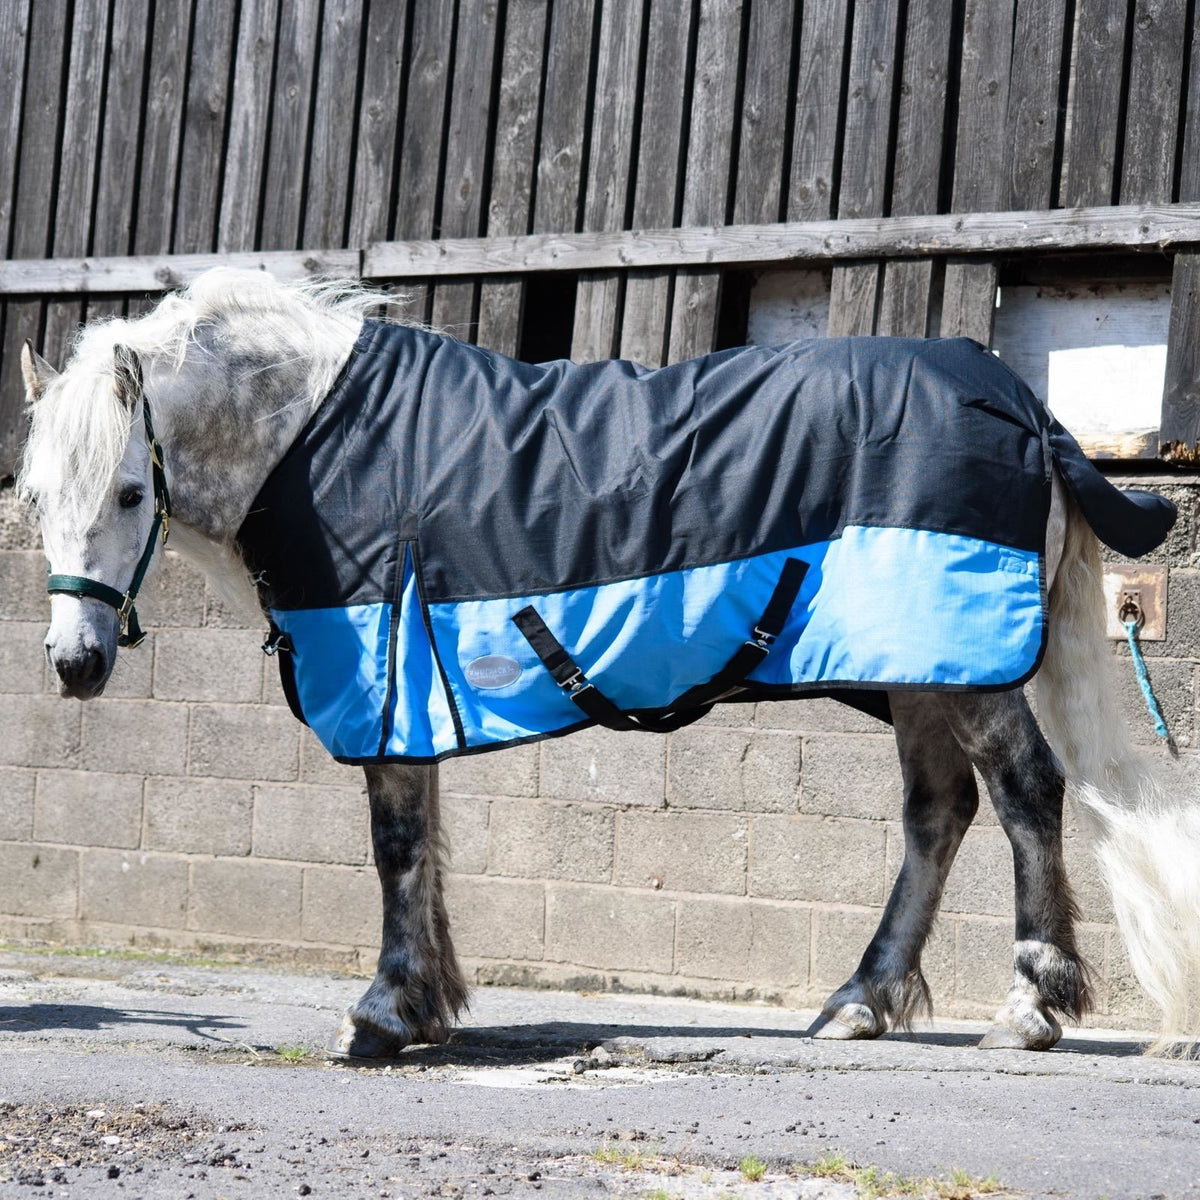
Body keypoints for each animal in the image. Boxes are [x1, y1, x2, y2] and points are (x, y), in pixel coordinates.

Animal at [16, 268, 1200, 1057]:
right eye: (35, 497)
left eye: (130, 490)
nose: (73, 662)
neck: (328, 433)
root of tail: (1021, 403)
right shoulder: (420, 680)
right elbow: (424, 841)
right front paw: (429, 1001)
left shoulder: (388, 674)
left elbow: (396, 843)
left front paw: (385, 1013)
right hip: (915, 665)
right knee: (936, 816)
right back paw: (858, 1002)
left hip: (958, 662)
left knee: (1025, 792)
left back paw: (1030, 1005)